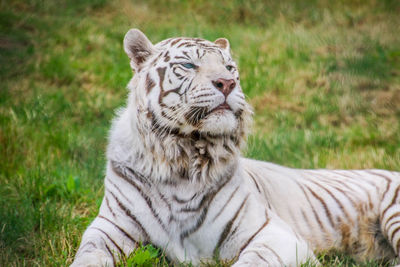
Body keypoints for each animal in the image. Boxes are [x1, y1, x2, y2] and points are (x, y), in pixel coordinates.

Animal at [71, 29, 400, 267]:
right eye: (189, 65)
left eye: (229, 67)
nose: (227, 82)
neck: (183, 157)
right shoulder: (109, 227)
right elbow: (88, 255)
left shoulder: (274, 235)